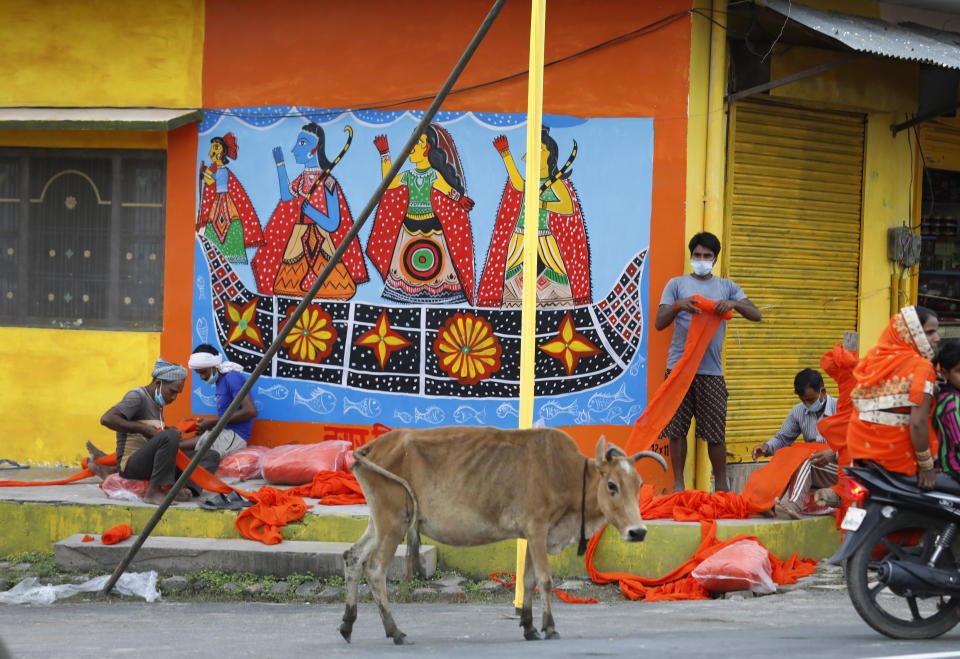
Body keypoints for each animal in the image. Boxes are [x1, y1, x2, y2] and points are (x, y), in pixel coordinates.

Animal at [340, 426, 668, 648]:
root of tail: (374, 447)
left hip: (379, 522)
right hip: (393, 521)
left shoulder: (533, 534)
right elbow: (545, 580)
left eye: (639, 484)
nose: (638, 531)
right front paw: (550, 628)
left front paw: (529, 627)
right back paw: (395, 631)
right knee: (375, 570)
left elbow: (528, 580)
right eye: (612, 485)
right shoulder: (537, 528)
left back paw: (347, 625)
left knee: (353, 558)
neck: (566, 474)